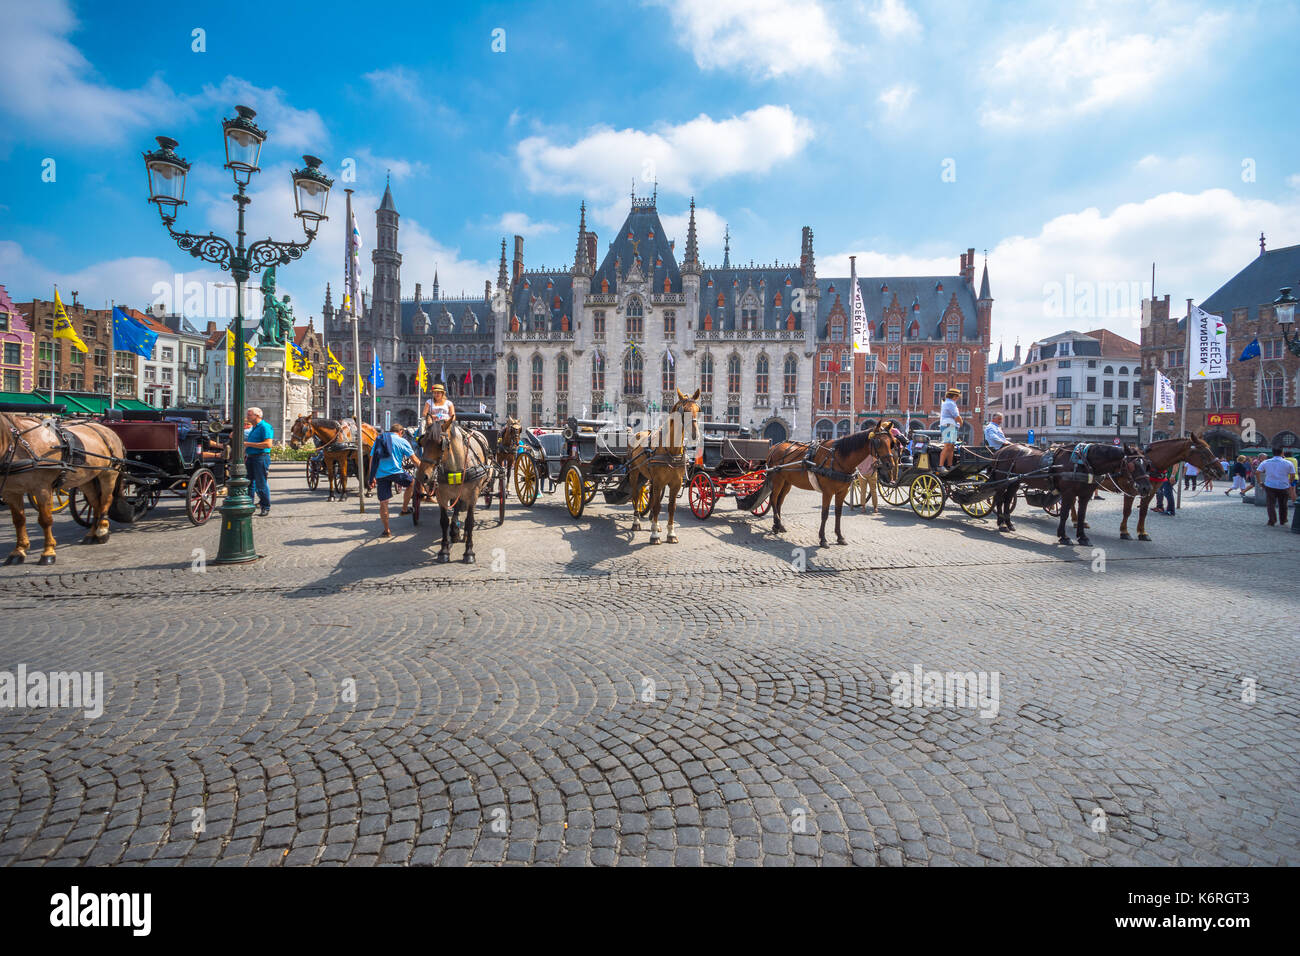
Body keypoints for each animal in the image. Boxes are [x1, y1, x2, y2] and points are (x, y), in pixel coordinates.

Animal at [0, 413, 126, 564]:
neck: (21, 445)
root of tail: (108, 430)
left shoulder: (42, 488)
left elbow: (45, 520)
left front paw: (48, 552)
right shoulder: (11, 492)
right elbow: (19, 521)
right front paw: (18, 551)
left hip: (108, 473)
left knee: (106, 500)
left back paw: (102, 531)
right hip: (86, 478)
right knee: (96, 503)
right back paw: (91, 534)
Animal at [416, 416, 496, 561]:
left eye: (440, 443)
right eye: (422, 442)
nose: (422, 476)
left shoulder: (473, 495)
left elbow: (470, 522)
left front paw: (469, 552)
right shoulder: (441, 495)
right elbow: (444, 521)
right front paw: (444, 550)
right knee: (457, 507)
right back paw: (455, 532)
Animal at [759, 421, 899, 546]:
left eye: (892, 443)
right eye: (878, 442)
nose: (890, 465)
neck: (837, 458)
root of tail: (774, 446)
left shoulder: (842, 492)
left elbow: (838, 513)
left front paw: (840, 537)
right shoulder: (827, 492)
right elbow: (825, 514)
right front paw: (823, 539)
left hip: (787, 482)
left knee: (779, 502)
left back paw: (778, 525)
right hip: (777, 480)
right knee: (773, 499)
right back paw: (777, 523)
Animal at [987, 442, 1154, 546]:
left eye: (1147, 465)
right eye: (1132, 465)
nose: (1146, 488)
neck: (1084, 462)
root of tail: (1001, 450)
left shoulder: (1085, 495)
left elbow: (1081, 515)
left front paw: (1082, 537)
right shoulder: (1068, 493)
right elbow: (1065, 514)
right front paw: (1064, 536)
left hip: (1014, 482)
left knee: (1007, 500)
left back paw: (1009, 523)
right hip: (1003, 480)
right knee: (999, 500)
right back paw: (1001, 523)